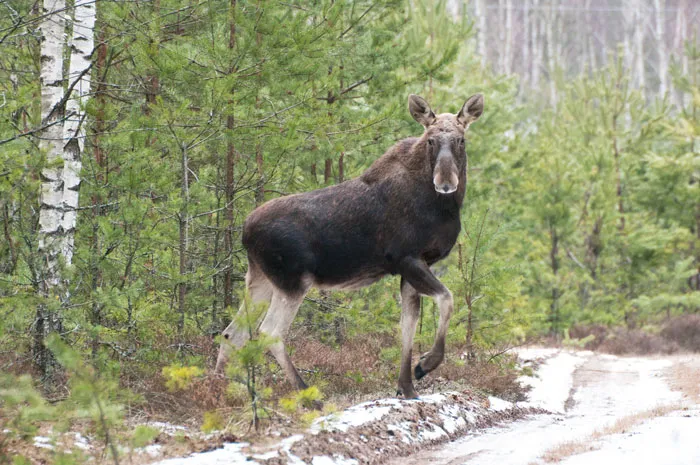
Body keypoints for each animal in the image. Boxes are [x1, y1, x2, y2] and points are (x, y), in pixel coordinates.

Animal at [216, 92, 484, 396]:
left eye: (461, 139)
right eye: (430, 140)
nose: (445, 182)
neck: (444, 207)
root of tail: (245, 231)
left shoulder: (412, 267)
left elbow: (408, 325)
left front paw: (406, 388)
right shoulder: (407, 258)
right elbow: (447, 299)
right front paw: (425, 365)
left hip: (260, 278)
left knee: (232, 333)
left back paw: (222, 389)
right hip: (292, 281)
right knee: (269, 332)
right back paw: (307, 393)